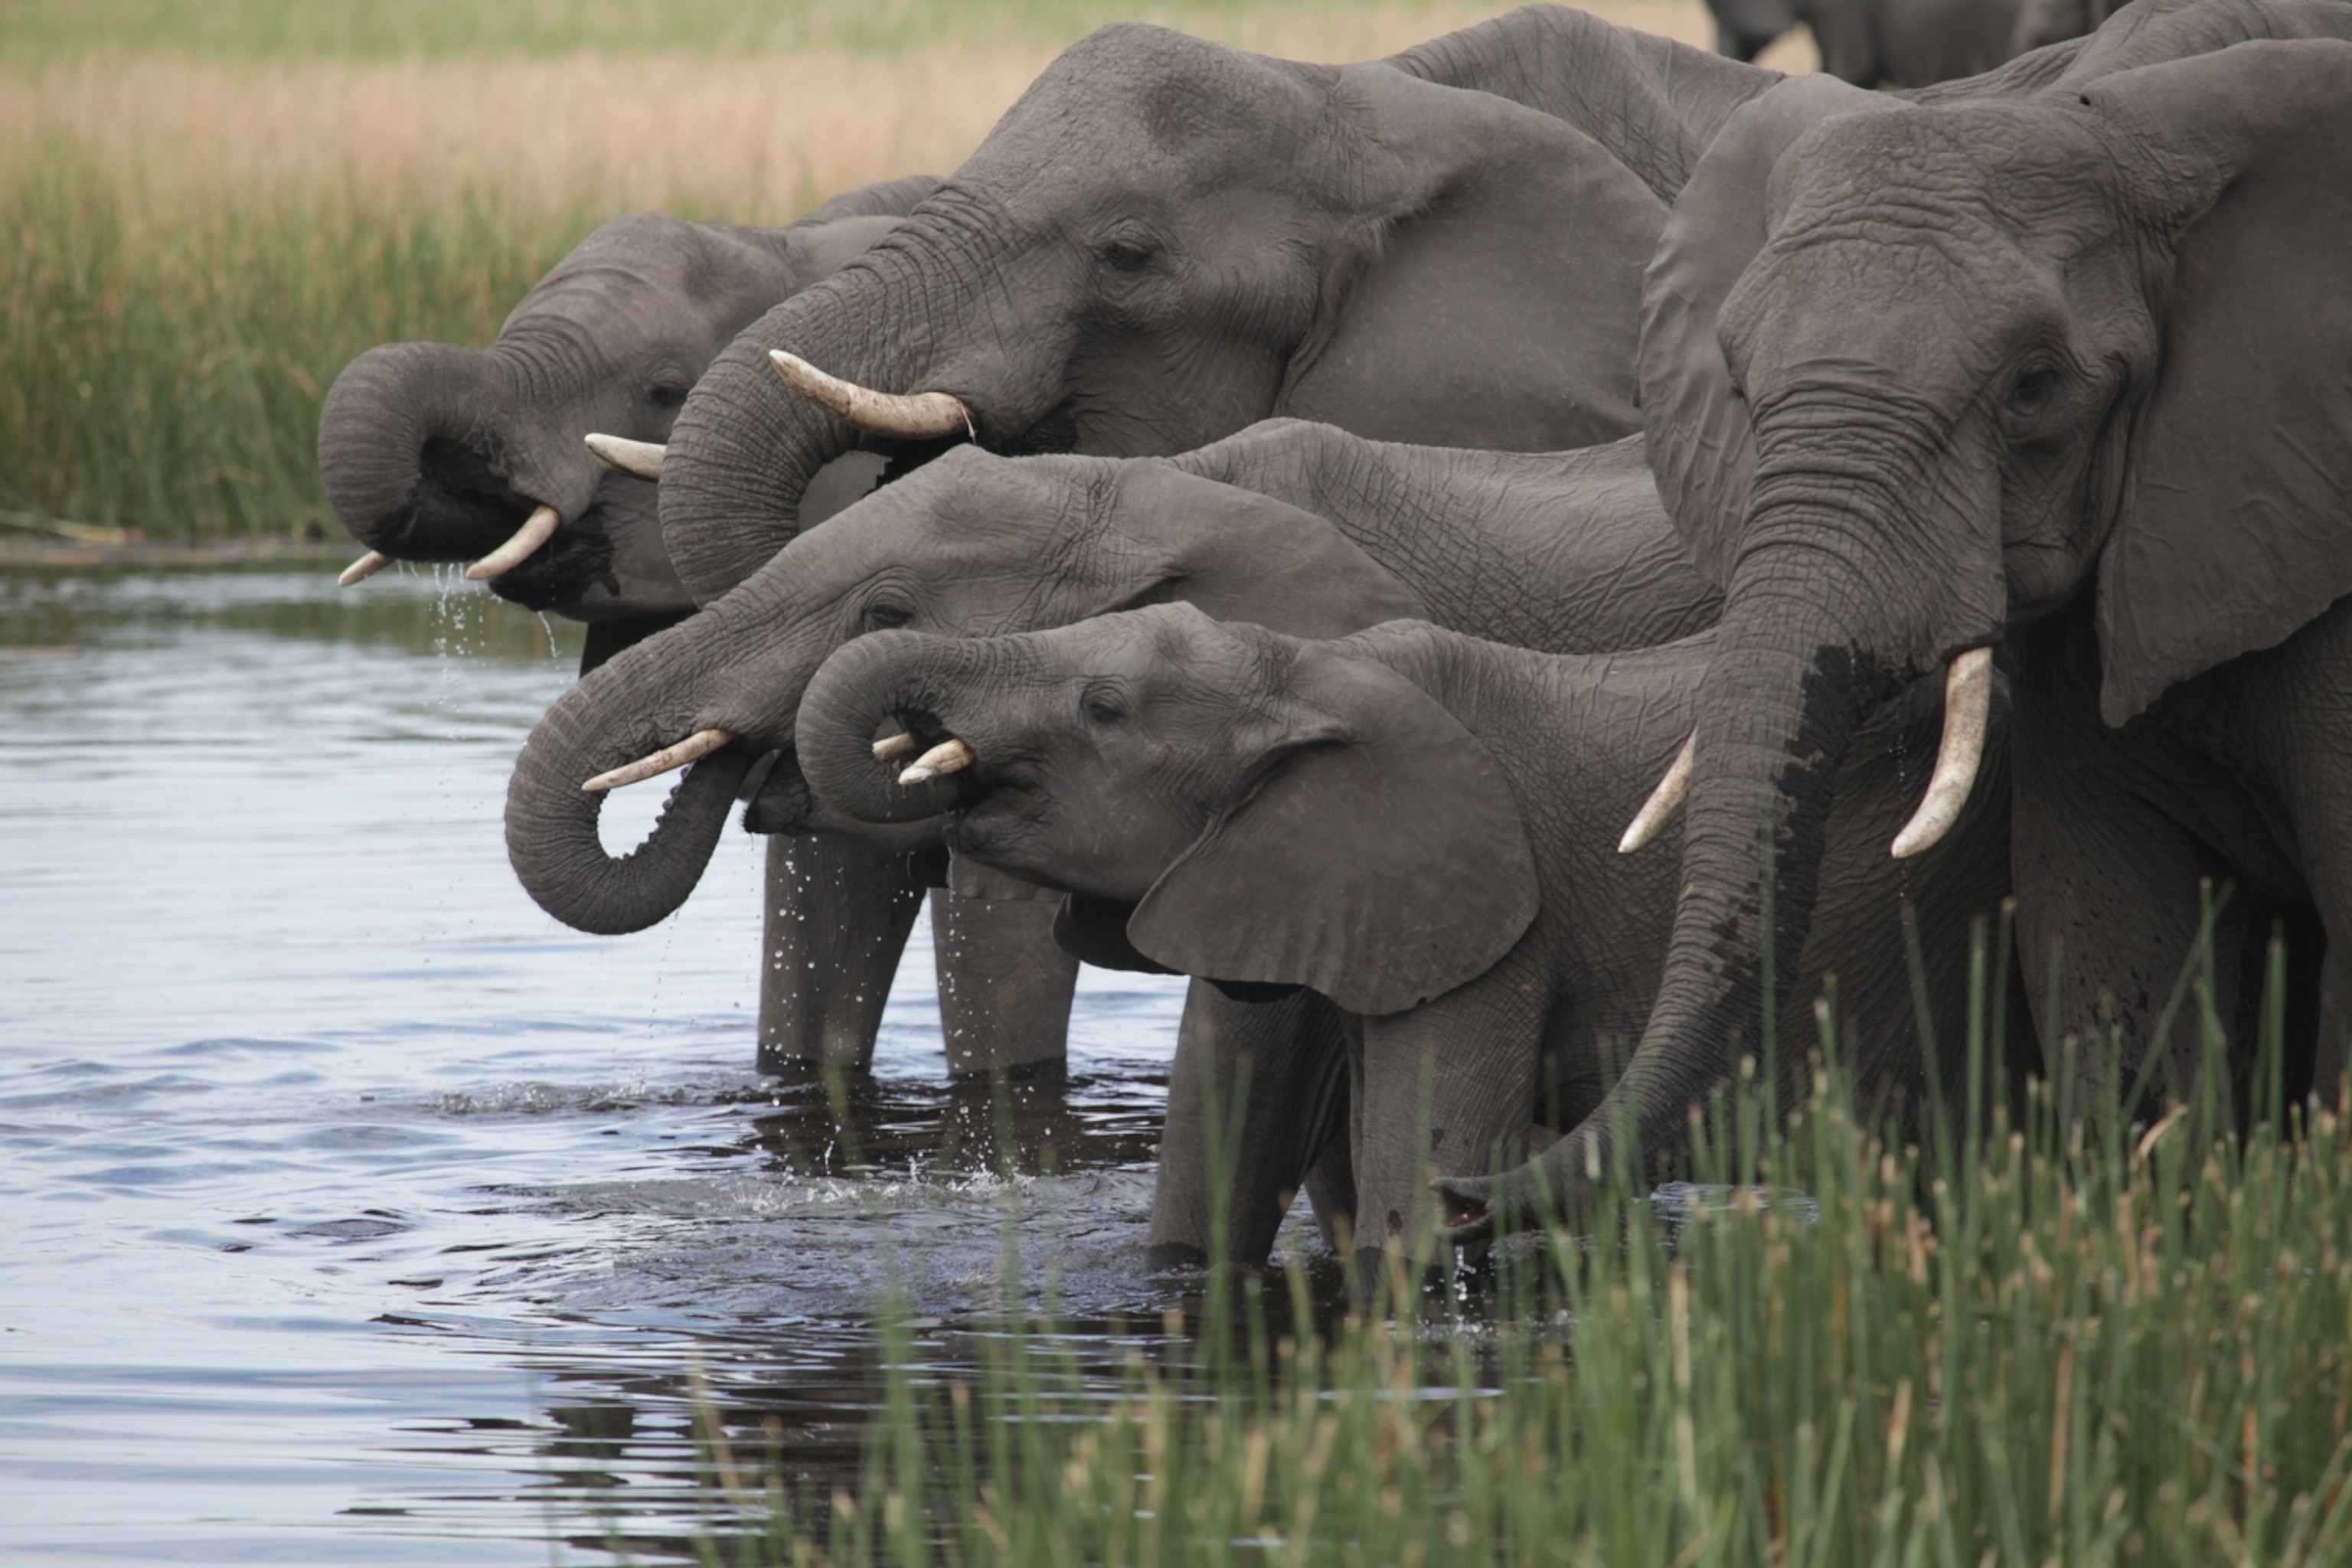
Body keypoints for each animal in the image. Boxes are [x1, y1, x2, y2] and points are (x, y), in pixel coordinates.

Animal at [790, 603, 2022, 1280]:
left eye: (1103, 709)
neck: (1301, 668)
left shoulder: (1490, 919)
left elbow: (1403, 1205)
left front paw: (1434, 1217)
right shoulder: (1286, 876)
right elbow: (1212, 1178)